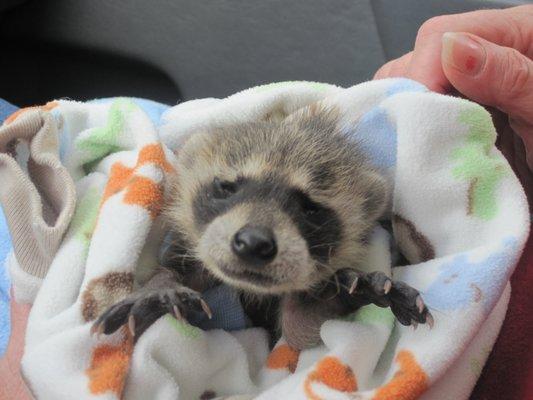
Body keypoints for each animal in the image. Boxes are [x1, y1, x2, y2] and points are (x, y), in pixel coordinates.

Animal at [91, 104, 432, 348]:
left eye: (311, 208)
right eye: (227, 187)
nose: (253, 243)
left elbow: (301, 331)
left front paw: (351, 290)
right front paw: (160, 287)